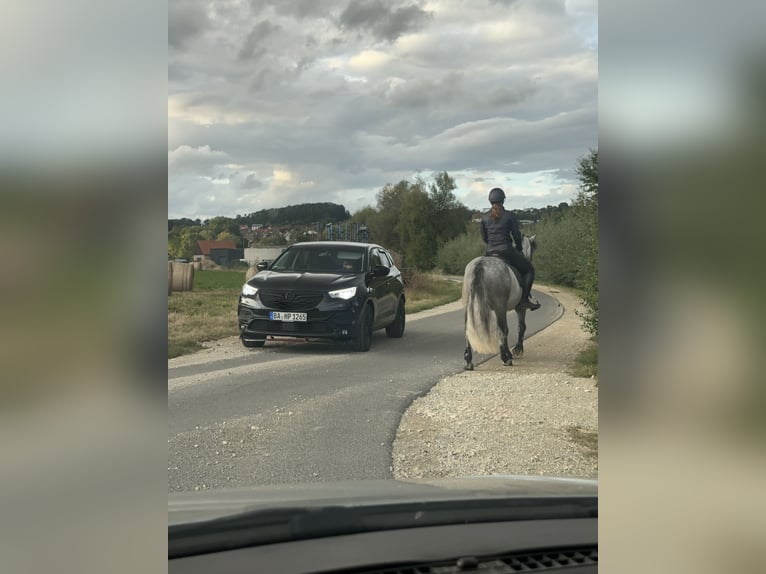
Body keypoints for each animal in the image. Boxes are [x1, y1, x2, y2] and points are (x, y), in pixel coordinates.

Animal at [464, 235, 536, 374]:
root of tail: (480, 265)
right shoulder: (519, 308)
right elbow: (521, 327)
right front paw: (516, 350)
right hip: (499, 306)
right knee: (503, 329)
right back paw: (505, 358)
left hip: (468, 305)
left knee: (468, 330)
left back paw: (468, 361)